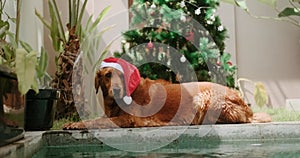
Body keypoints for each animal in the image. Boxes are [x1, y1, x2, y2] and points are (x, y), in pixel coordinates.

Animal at [62, 66, 272, 130]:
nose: (116, 89)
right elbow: (95, 119)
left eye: (121, 75)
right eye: (107, 75)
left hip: (204, 98)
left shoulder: (128, 119)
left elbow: (98, 122)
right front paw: (74, 123)